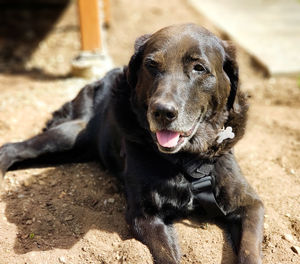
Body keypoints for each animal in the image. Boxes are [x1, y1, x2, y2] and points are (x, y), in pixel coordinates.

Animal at [0, 23, 262, 262]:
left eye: (199, 68)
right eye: (151, 65)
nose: (162, 112)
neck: (186, 159)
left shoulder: (251, 205)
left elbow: (250, 252)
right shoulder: (145, 216)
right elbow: (167, 256)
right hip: (69, 136)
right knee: (11, 148)